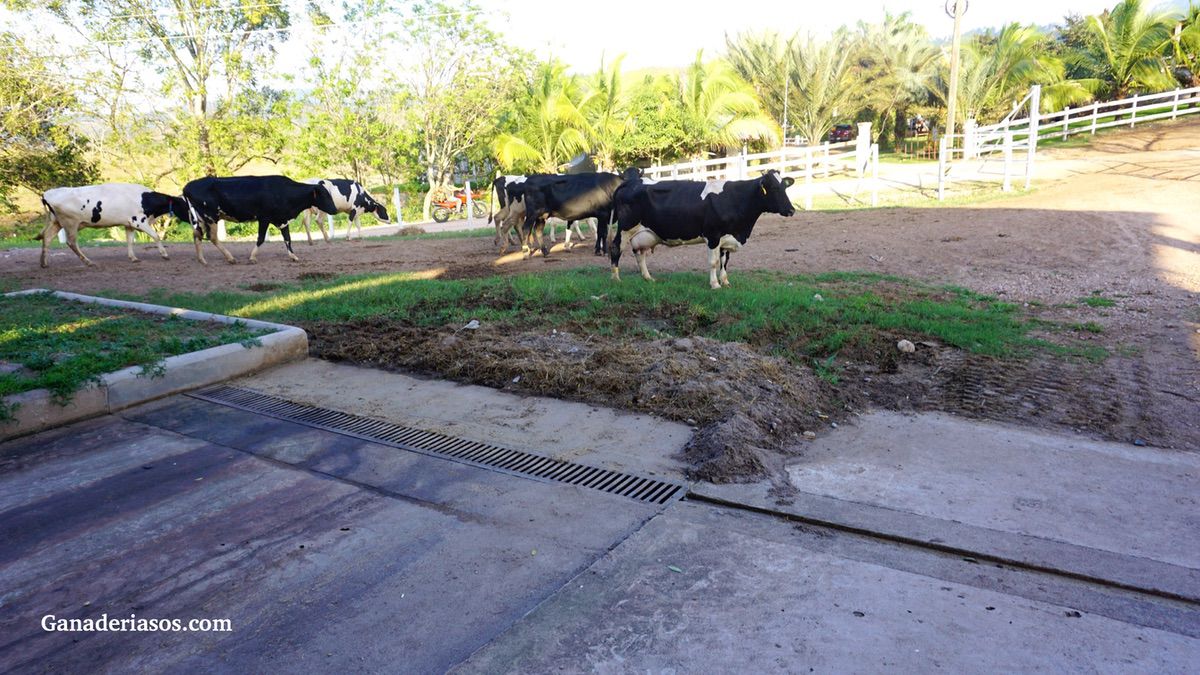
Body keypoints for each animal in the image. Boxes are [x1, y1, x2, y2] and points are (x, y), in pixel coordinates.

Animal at [36, 183, 189, 270]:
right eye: (185, 205)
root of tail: (47, 193)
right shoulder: (139, 221)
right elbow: (156, 236)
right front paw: (164, 254)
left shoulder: (129, 224)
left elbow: (129, 241)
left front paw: (133, 258)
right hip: (71, 223)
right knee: (71, 242)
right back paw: (89, 262)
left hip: (56, 222)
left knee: (47, 238)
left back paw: (44, 263)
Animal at [184, 172, 340, 263]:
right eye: (325, 195)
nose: (335, 209)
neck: (283, 192)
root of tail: (188, 186)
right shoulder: (264, 218)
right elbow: (261, 238)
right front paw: (252, 257)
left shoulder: (282, 220)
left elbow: (287, 238)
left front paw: (293, 256)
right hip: (211, 217)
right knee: (212, 237)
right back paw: (230, 258)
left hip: (200, 219)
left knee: (197, 235)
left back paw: (202, 259)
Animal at [609, 169, 796, 288]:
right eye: (773, 188)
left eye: (785, 187)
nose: (792, 210)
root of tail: (630, 182)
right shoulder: (713, 235)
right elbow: (714, 262)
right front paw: (715, 284)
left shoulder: (726, 237)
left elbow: (724, 262)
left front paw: (725, 282)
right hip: (625, 227)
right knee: (616, 247)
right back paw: (616, 278)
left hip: (642, 233)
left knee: (639, 253)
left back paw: (648, 278)